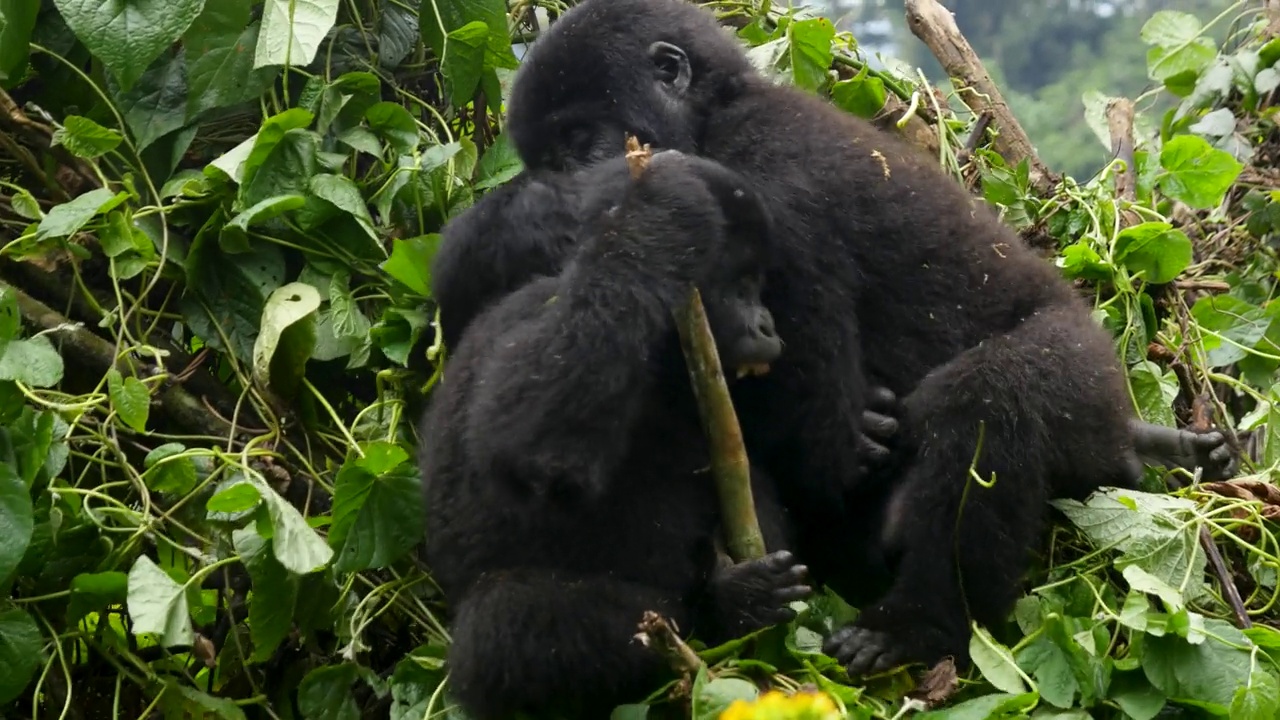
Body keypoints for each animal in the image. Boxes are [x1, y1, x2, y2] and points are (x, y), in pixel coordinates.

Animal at [424, 152, 814, 717]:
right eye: (741, 285)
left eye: (758, 286)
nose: (767, 325)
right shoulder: (526, 317)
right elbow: (521, 443)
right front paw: (658, 214)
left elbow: (749, 485)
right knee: (501, 626)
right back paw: (714, 609)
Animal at [494, 0, 1233, 676]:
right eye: (549, 157)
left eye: (580, 141)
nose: (567, 198)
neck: (720, 109)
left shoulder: (770, 179)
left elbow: (816, 406)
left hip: (1084, 364)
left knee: (990, 401)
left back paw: (920, 621)